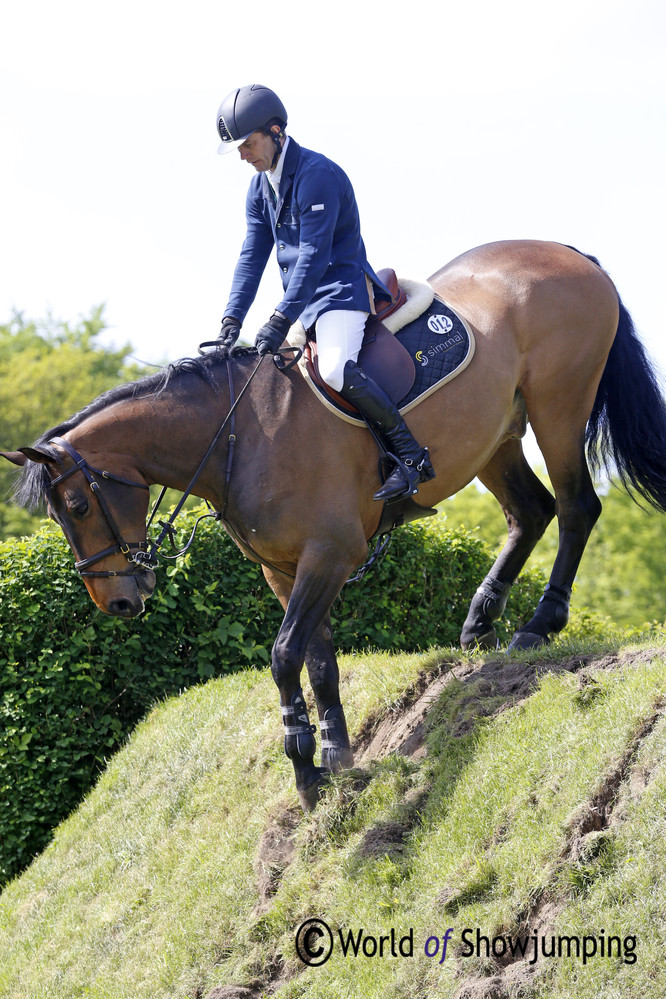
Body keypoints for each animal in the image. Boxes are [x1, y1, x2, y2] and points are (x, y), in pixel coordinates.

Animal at [1, 242, 664, 812]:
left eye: (78, 508)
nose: (116, 601)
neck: (240, 435)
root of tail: (565, 252)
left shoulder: (330, 554)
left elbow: (284, 654)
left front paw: (304, 766)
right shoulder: (284, 569)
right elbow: (317, 659)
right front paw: (336, 755)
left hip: (557, 404)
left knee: (576, 508)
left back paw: (538, 624)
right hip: (496, 436)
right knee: (531, 512)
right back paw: (480, 622)